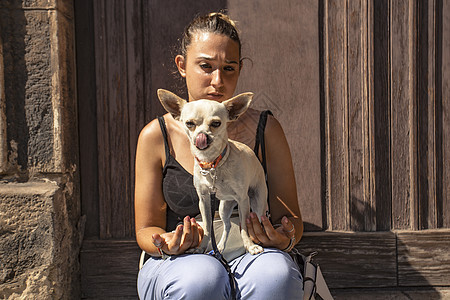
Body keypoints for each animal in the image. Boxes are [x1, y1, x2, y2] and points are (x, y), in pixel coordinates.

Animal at [157, 89, 268, 255]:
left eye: (216, 123)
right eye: (189, 124)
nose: (202, 135)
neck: (212, 165)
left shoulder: (243, 199)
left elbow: (244, 227)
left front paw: (250, 245)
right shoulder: (204, 200)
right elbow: (208, 227)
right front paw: (201, 246)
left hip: (256, 201)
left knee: (257, 220)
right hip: (224, 207)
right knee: (228, 225)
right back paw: (220, 246)